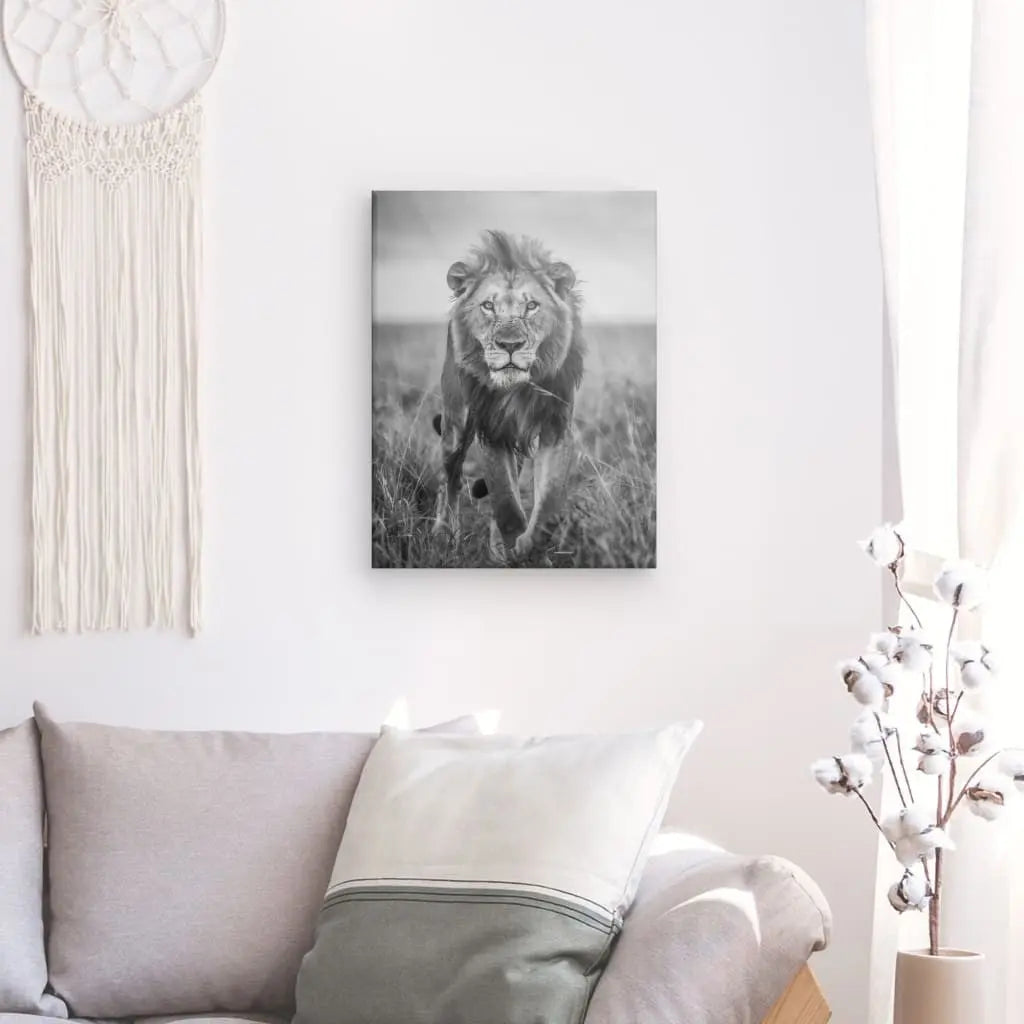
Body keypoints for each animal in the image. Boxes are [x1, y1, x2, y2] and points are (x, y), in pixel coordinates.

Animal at [431, 229, 585, 563]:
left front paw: (528, 548)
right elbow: (505, 503)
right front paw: (516, 544)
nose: (510, 344)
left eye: (532, 306)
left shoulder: (556, 427)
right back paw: (444, 536)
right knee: (450, 480)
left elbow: (548, 501)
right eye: (488, 306)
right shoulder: (491, 429)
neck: (518, 388)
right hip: (455, 426)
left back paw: (497, 550)